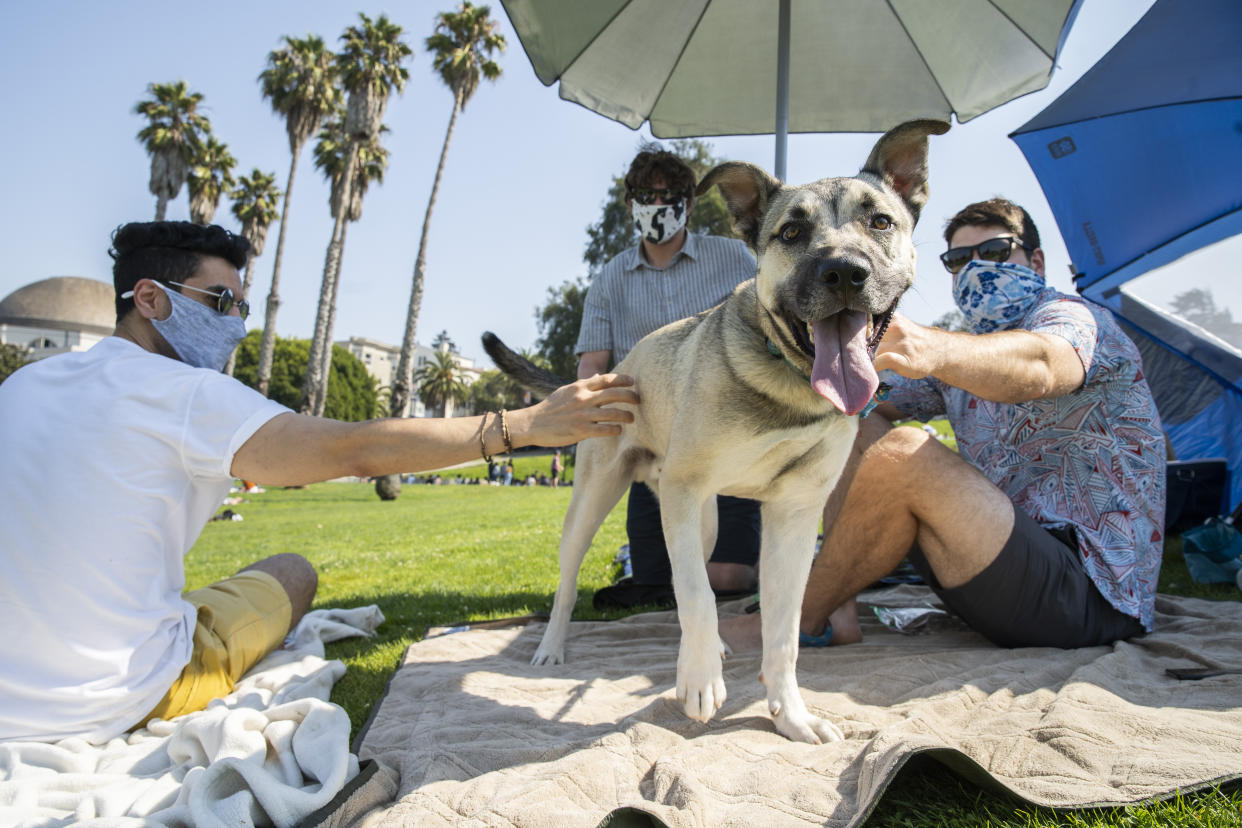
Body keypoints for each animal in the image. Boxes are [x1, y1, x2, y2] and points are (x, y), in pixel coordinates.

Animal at [479, 121, 943, 744]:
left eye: (881, 222)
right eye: (791, 231)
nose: (845, 271)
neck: (788, 385)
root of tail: (619, 365)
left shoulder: (794, 517)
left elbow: (781, 632)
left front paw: (790, 714)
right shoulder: (684, 489)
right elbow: (697, 596)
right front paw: (698, 683)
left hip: (703, 520)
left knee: (690, 572)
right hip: (598, 501)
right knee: (577, 582)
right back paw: (555, 646)